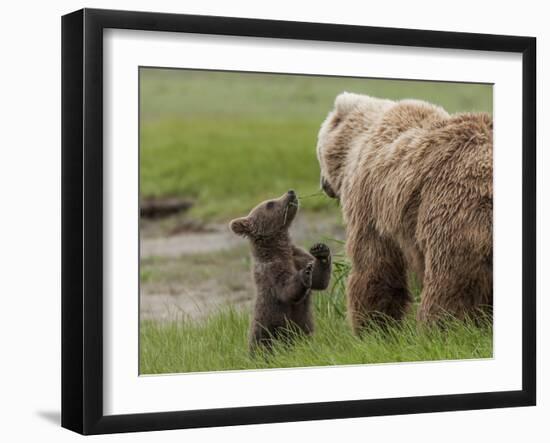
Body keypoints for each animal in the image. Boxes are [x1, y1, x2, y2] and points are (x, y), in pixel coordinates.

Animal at [316, 92, 494, 332]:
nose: (323, 185)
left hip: (453, 207)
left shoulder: (369, 200)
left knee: (450, 281)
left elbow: (373, 263)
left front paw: (372, 326)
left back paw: (439, 327)